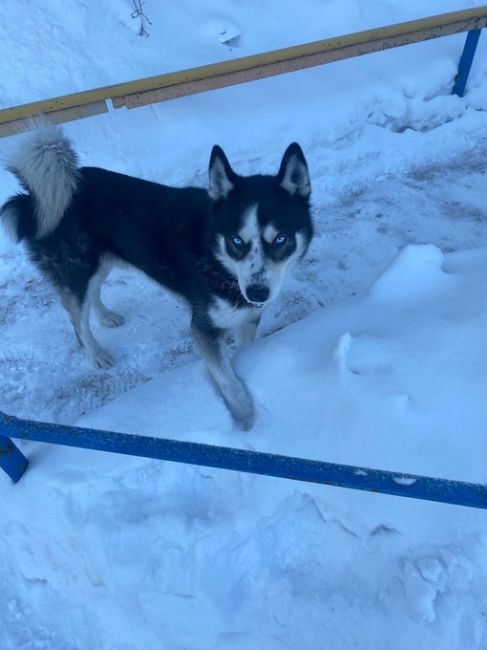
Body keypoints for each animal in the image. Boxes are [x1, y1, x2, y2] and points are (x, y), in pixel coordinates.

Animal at [1, 127, 314, 430]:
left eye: (281, 239)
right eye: (236, 240)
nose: (258, 293)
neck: (217, 259)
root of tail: (36, 198)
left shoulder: (248, 317)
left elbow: (247, 347)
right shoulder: (202, 329)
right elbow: (227, 380)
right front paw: (247, 421)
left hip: (100, 262)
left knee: (94, 293)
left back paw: (106, 316)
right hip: (76, 270)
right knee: (78, 321)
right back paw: (95, 353)